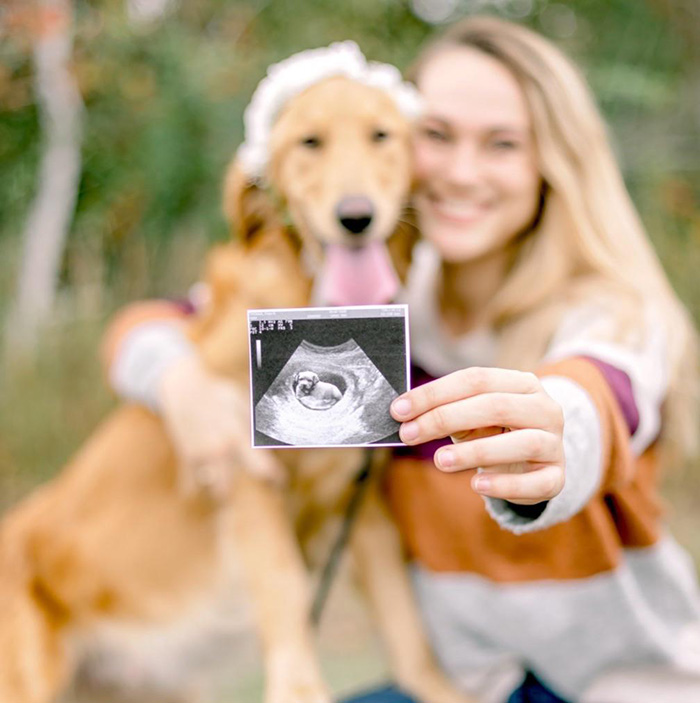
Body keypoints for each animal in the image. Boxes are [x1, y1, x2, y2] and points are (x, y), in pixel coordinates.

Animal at [0, 45, 476, 703]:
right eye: (309, 142)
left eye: (382, 135)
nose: (355, 217)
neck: (315, 297)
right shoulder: (248, 477)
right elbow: (285, 587)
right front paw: (301, 691)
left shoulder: (363, 511)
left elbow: (406, 626)